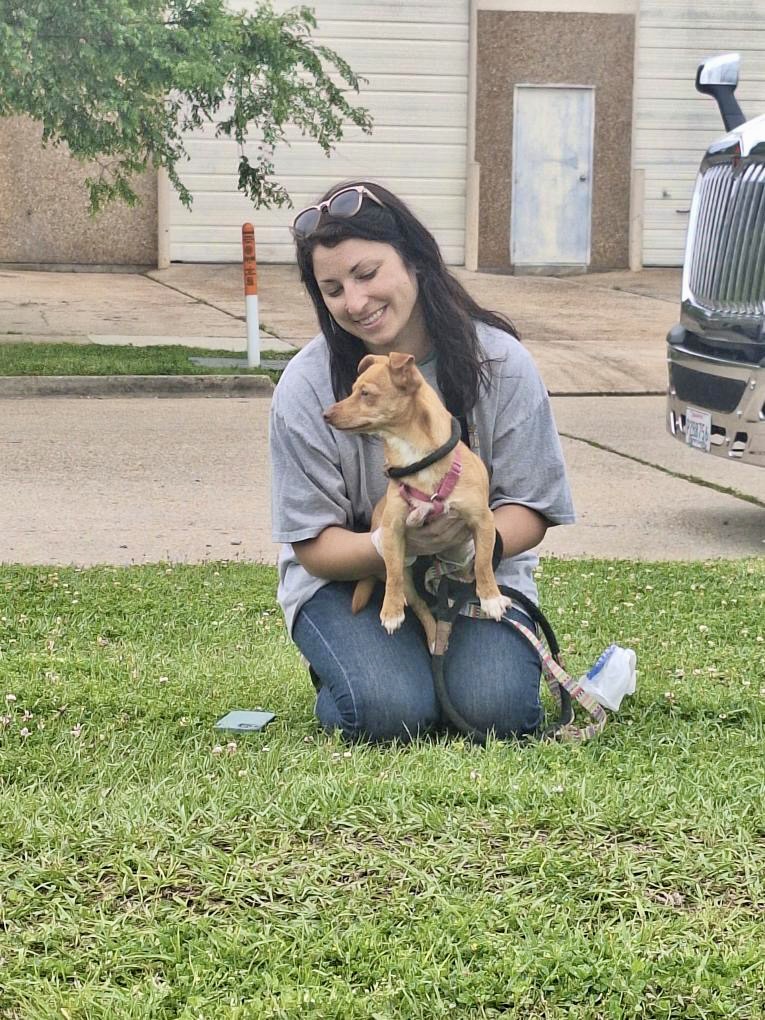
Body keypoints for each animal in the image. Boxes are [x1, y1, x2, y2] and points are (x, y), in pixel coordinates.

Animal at [324, 354, 510, 648]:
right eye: (352, 390)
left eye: (365, 393)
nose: (326, 414)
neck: (415, 457)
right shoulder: (392, 530)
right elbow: (393, 574)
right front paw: (390, 611)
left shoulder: (482, 521)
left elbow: (483, 562)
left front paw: (490, 597)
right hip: (410, 580)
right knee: (421, 606)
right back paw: (434, 637)